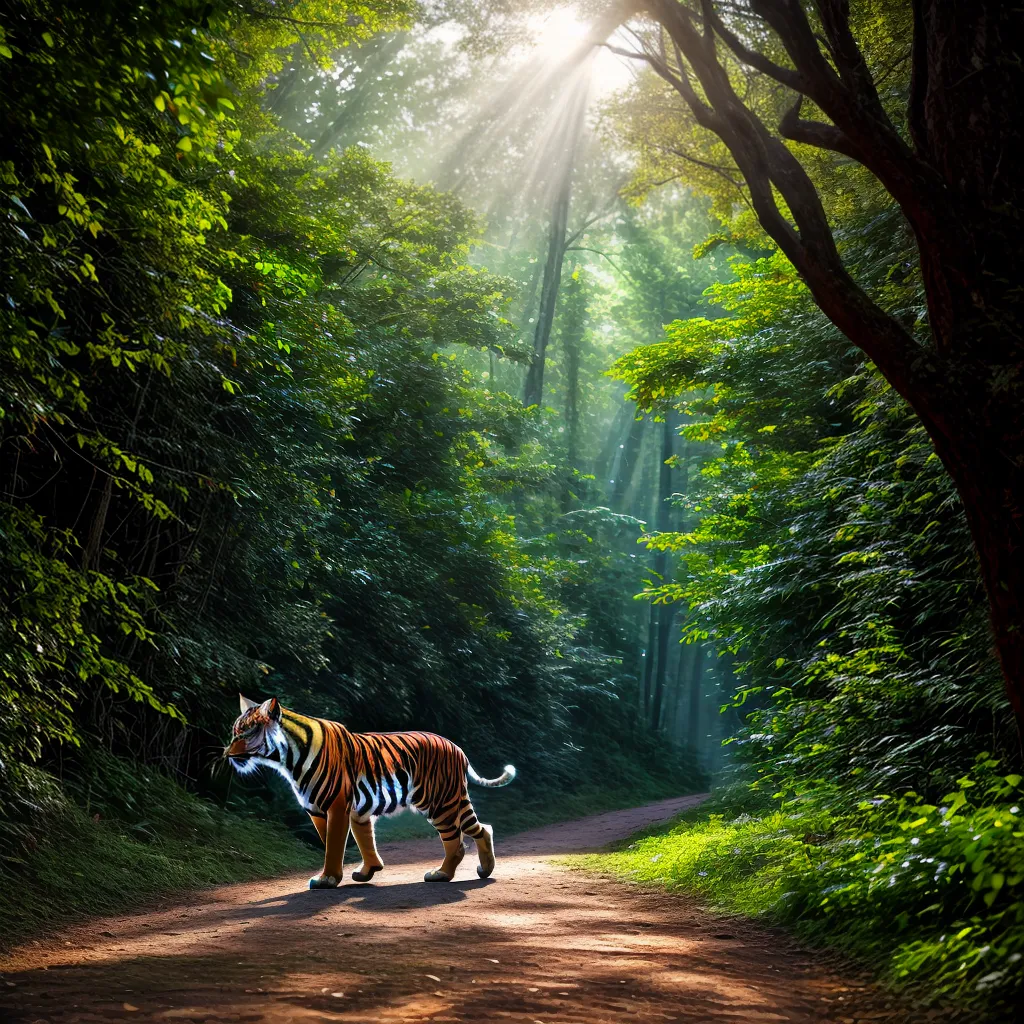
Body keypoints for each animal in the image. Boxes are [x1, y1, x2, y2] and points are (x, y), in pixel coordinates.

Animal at [224, 695, 516, 889]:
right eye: (234, 732)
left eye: (246, 733)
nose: (227, 754)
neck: (287, 758)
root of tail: (457, 748)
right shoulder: (324, 810)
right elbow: (361, 840)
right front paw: (368, 871)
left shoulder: (337, 806)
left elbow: (334, 845)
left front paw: (328, 879)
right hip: (454, 799)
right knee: (483, 828)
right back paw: (485, 869)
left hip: (439, 803)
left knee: (455, 842)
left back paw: (441, 875)